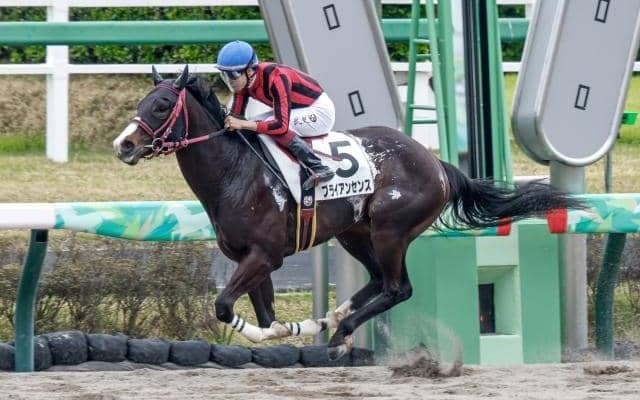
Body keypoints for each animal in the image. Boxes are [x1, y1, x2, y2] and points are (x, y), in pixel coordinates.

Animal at [113, 65, 584, 360]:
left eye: (161, 106)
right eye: (142, 101)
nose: (124, 144)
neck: (235, 172)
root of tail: (437, 164)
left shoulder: (266, 255)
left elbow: (226, 307)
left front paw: (289, 330)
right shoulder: (250, 257)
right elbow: (263, 315)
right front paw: (294, 328)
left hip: (391, 231)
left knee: (397, 288)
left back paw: (340, 333)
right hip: (354, 233)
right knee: (377, 280)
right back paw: (334, 318)